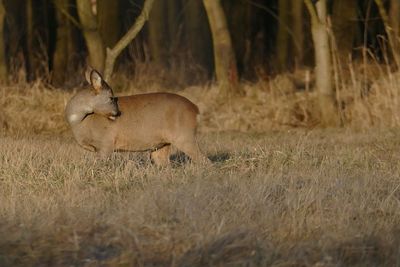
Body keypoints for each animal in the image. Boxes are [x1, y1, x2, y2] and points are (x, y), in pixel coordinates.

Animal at [65, 69, 209, 165]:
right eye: (111, 98)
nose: (117, 113)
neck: (81, 122)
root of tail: (196, 109)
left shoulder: (106, 143)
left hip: (184, 135)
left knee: (204, 160)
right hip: (161, 144)